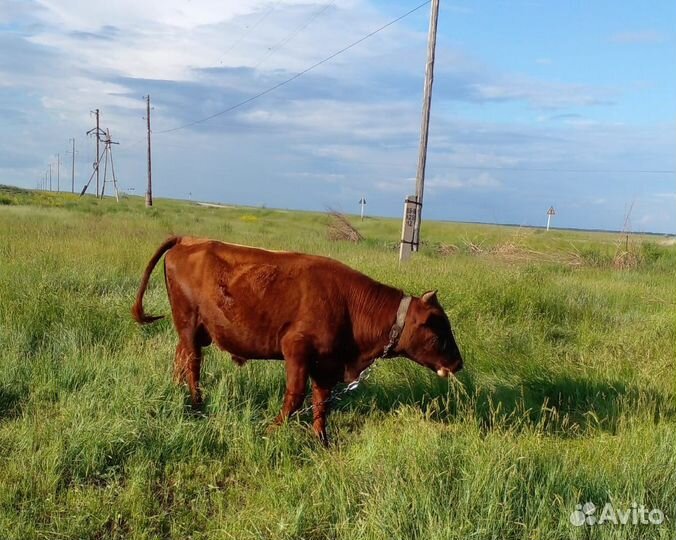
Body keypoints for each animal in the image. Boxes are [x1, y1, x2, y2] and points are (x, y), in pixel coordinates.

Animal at [132, 236, 462, 442]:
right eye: (438, 328)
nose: (459, 363)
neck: (348, 304)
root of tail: (188, 240)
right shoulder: (296, 351)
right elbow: (295, 396)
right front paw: (272, 429)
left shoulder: (327, 363)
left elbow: (321, 400)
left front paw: (321, 438)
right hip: (190, 327)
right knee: (193, 365)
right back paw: (197, 404)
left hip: (194, 332)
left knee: (181, 359)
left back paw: (178, 394)